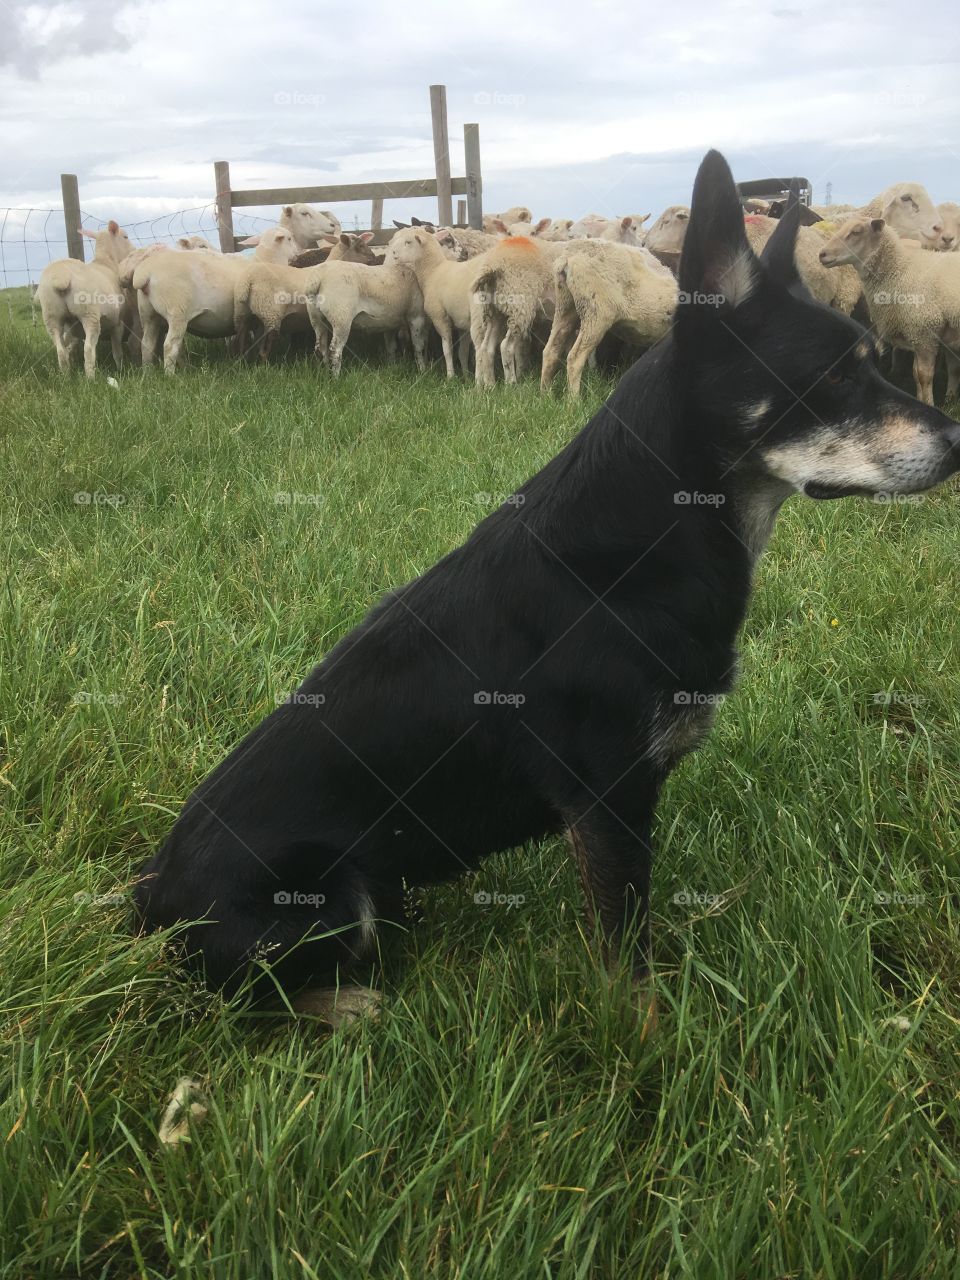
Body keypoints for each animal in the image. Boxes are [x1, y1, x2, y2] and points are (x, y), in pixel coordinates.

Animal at [37, 220, 132, 377]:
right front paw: (121, 369)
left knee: (61, 350)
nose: (133, 251)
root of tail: (61, 276)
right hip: (89, 314)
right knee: (88, 350)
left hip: (51, 315)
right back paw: (91, 378)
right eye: (125, 237)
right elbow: (117, 352)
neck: (107, 262)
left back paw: (66, 377)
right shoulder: (118, 322)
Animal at [133, 227, 298, 374]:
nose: (297, 253)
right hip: (177, 312)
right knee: (170, 346)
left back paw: (148, 373)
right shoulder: (261, 315)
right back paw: (171, 376)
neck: (266, 260)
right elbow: (256, 341)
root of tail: (145, 272)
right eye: (290, 238)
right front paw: (259, 363)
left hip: (148, 315)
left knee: (147, 344)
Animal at [233, 233, 380, 360]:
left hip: (245, 313)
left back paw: (243, 361)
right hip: (270, 313)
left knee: (242, 337)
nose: (374, 258)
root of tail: (248, 279)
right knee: (266, 343)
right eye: (360, 245)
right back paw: (265, 364)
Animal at [540, 239, 677, 397]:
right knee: (575, 357)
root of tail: (570, 254)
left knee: (550, 350)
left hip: (566, 306)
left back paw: (546, 394)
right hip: (597, 312)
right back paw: (574, 399)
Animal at [818, 215, 960, 404]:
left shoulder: (925, 333)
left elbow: (924, 376)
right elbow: (916, 374)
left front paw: (929, 403)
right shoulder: (916, 333)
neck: (900, 270)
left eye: (856, 232)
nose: (822, 254)